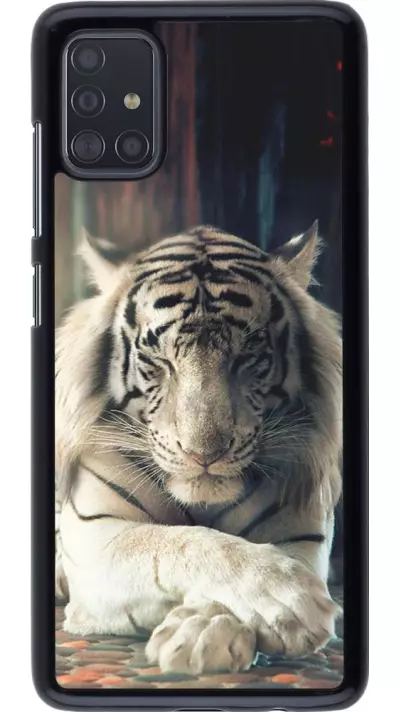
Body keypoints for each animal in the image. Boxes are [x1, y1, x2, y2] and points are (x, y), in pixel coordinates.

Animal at [55, 222, 342, 675]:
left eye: (248, 357)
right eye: (158, 361)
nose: (203, 454)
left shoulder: (301, 534)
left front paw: (202, 632)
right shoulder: (96, 538)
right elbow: (181, 542)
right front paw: (288, 599)